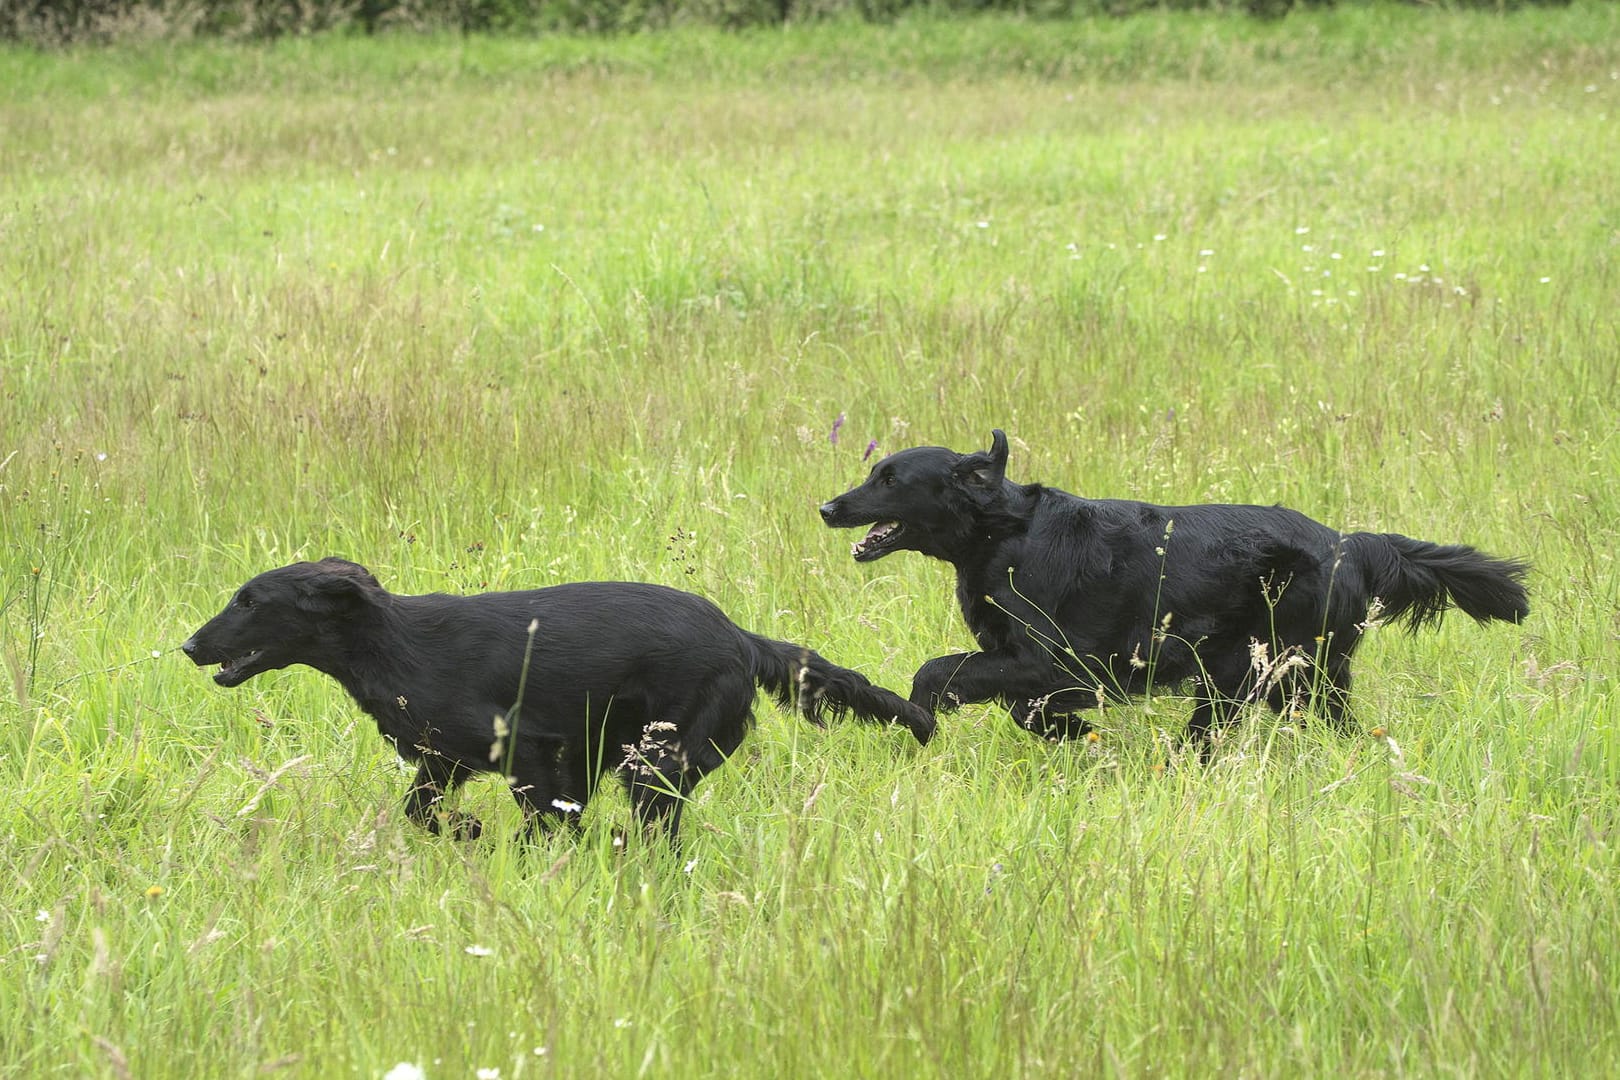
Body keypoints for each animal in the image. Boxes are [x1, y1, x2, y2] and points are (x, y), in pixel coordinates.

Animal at [183, 563, 933, 848]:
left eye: (249, 601)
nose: (189, 645)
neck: (393, 645)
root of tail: (741, 639)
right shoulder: (444, 761)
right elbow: (420, 811)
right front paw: (469, 832)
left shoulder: (531, 749)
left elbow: (544, 818)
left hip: (657, 759)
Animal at [822, 427, 1529, 744]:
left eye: (890, 479)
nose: (827, 508)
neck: (1002, 534)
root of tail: (1349, 544)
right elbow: (1017, 706)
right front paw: (1074, 735)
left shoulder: (1060, 661)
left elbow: (939, 673)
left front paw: (922, 720)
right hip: (1243, 681)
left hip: (1295, 671)